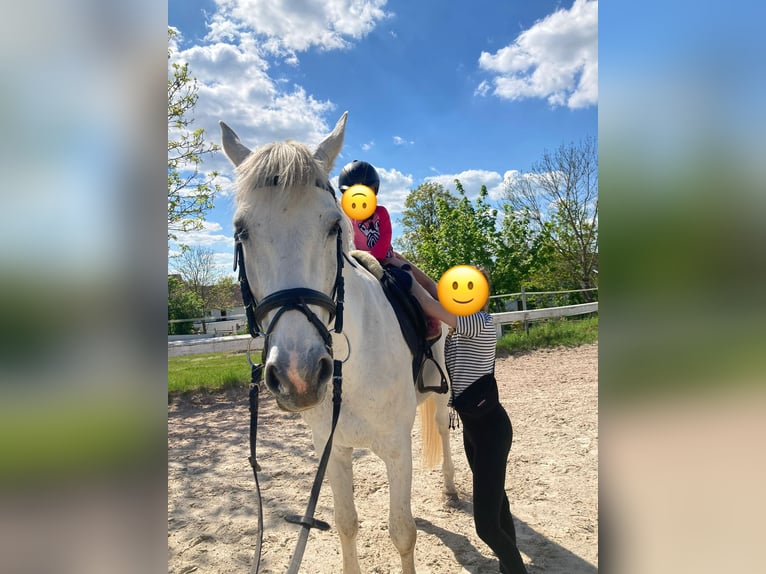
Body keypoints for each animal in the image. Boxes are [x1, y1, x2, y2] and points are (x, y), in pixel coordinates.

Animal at [220, 112, 456, 574]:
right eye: (241, 231)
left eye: (333, 225)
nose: (298, 375)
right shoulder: (333, 451)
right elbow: (346, 523)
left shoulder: (396, 449)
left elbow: (402, 533)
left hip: (439, 395)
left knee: (442, 428)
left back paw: (453, 490)